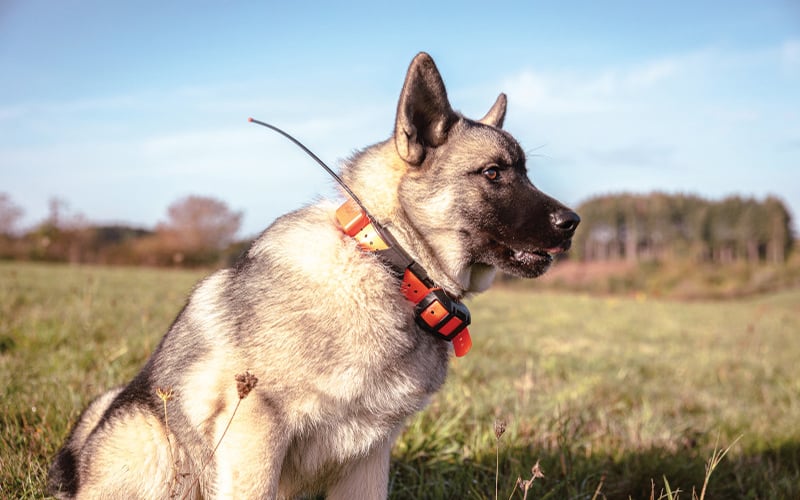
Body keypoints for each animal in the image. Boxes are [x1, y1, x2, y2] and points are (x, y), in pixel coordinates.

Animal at [47, 52, 580, 498]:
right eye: (493, 173)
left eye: (526, 172)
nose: (572, 222)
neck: (388, 264)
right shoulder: (255, 431)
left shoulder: (369, 455)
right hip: (153, 446)